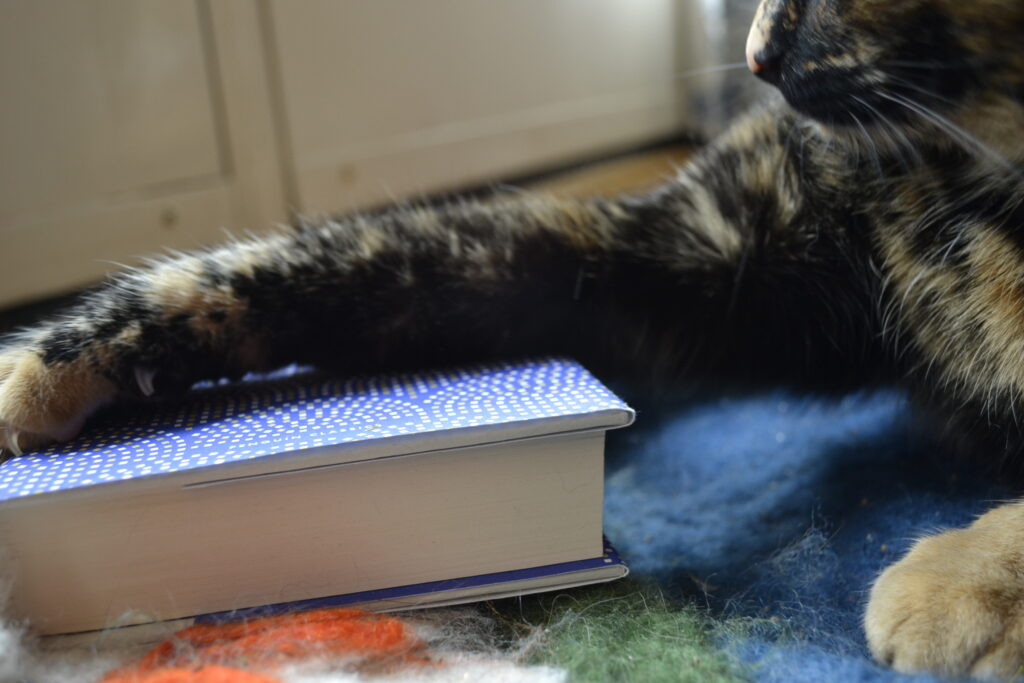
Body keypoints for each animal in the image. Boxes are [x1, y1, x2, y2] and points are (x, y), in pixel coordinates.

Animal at [2, 0, 1024, 675]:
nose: (756, 52)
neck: (958, 187)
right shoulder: (671, 262)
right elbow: (372, 252)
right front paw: (52, 360)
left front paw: (968, 579)